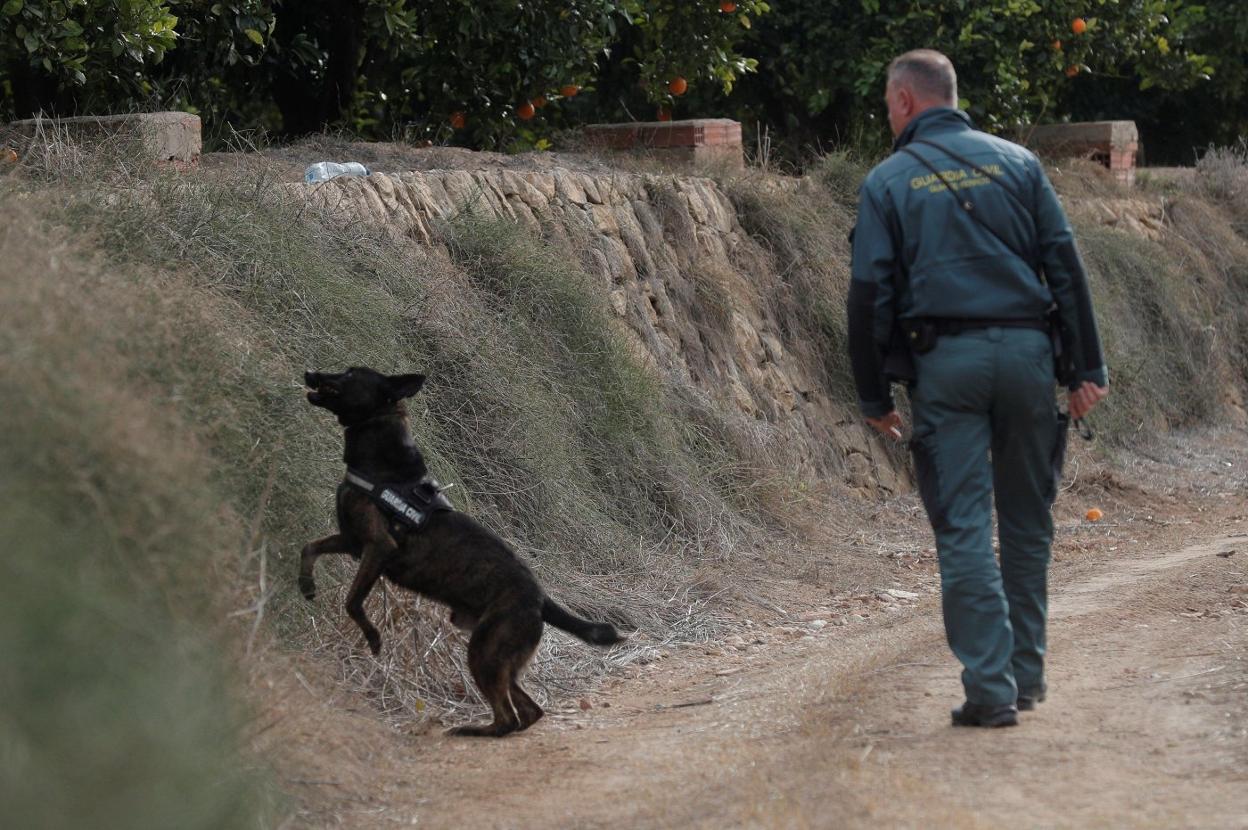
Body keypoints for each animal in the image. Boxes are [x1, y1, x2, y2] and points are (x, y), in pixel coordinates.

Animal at [298, 366, 628, 733]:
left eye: (350, 374)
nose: (310, 372)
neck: (381, 461)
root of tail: (541, 599)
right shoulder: (351, 540)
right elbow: (308, 548)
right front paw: (306, 585)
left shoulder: (378, 547)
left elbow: (352, 601)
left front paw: (372, 637)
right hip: (495, 655)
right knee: (529, 711)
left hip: (484, 651)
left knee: (508, 717)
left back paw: (473, 730)